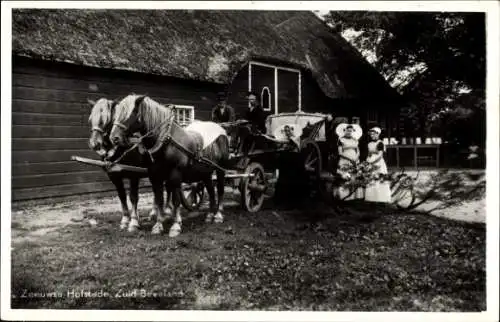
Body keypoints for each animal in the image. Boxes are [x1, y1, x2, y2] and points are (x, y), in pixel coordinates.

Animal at [86, 98, 172, 231]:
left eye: (105, 120)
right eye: (91, 119)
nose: (94, 143)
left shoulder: (133, 175)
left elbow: (133, 197)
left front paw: (134, 222)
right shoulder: (114, 176)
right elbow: (122, 196)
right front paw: (125, 219)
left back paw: (166, 212)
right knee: (156, 190)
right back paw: (154, 213)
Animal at [110, 94, 229, 238]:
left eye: (132, 112)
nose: (114, 138)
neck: (165, 140)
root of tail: (221, 130)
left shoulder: (175, 175)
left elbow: (176, 199)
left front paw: (176, 226)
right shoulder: (155, 176)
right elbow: (159, 199)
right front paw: (158, 225)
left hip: (220, 169)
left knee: (220, 190)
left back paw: (218, 215)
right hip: (205, 172)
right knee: (211, 190)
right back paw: (210, 215)